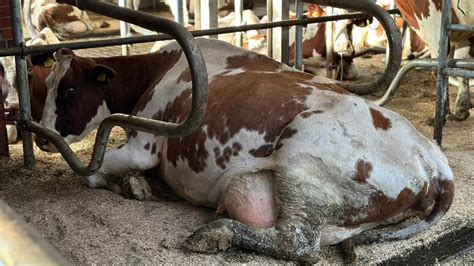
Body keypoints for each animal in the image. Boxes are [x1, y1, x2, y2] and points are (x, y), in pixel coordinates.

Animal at [36, 38, 452, 264]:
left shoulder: (145, 144)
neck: (159, 69)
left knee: (299, 244)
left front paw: (130, 185)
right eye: (47, 85)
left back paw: (215, 233)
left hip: (303, 161)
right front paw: (138, 185)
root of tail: (431, 154)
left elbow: (91, 172)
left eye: (68, 89)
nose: (41, 137)